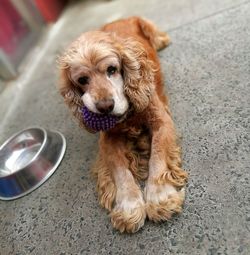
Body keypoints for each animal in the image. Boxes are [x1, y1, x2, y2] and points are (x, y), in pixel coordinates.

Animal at [57, 16, 188, 233]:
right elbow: (119, 168)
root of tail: (119, 18)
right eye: (82, 80)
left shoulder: (162, 122)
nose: (105, 107)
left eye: (112, 70)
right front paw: (129, 206)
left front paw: (160, 197)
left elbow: (157, 155)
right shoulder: (108, 138)